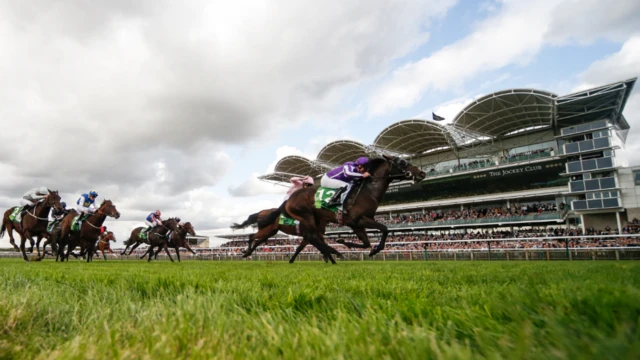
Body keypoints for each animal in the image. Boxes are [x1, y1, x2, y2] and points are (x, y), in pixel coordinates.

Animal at [258, 156, 428, 262]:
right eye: (402, 162)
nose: (422, 172)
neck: (368, 191)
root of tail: (290, 199)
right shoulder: (359, 219)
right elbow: (384, 229)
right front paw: (375, 249)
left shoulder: (355, 224)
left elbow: (366, 243)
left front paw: (345, 242)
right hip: (307, 217)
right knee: (312, 237)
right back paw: (332, 254)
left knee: (312, 238)